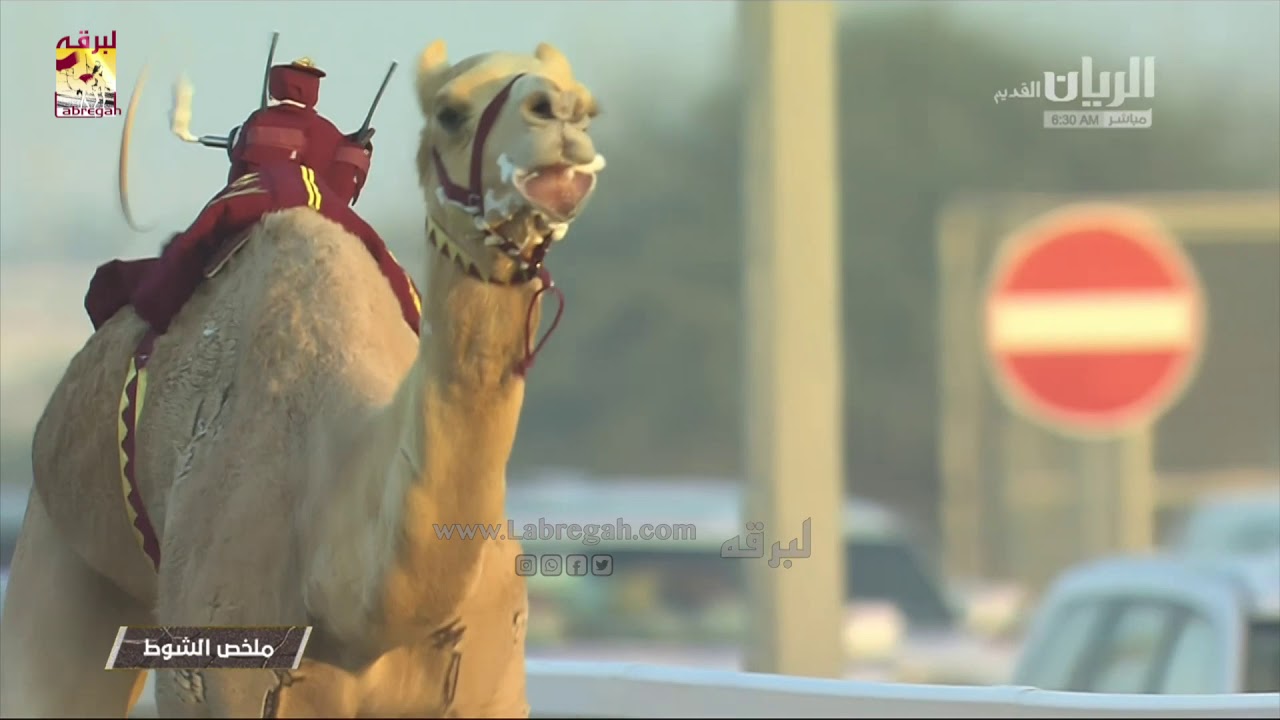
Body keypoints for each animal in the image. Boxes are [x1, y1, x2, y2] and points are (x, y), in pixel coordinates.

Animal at [0, 40, 604, 717]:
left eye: (588, 106)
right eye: (449, 112)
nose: (561, 117)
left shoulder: (490, 677)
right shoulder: (216, 670)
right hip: (64, 540)